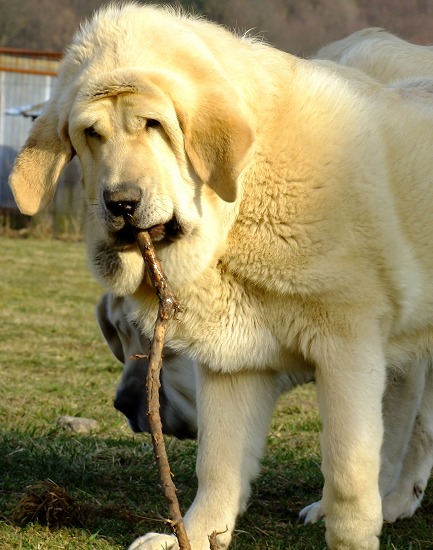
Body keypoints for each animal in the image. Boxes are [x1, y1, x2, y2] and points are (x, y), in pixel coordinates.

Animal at [7, 3, 433, 548]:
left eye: (154, 124)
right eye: (91, 134)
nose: (120, 202)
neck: (237, 209)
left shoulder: (349, 348)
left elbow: (350, 466)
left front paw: (353, 536)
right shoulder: (233, 360)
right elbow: (219, 462)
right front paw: (192, 533)